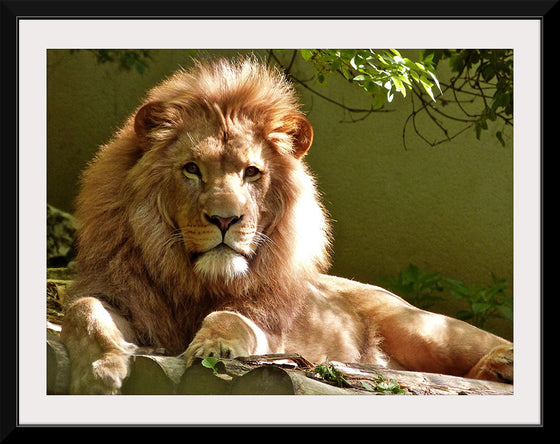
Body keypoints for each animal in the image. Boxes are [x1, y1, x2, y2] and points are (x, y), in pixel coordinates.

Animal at [60, 57, 512, 394]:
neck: (196, 281)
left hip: (423, 328)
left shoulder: (269, 330)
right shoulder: (124, 298)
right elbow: (84, 310)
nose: (225, 219)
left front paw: (214, 346)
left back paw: (501, 363)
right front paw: (101, 370)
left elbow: (230, 318)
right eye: (191, 169)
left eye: (251, 172)